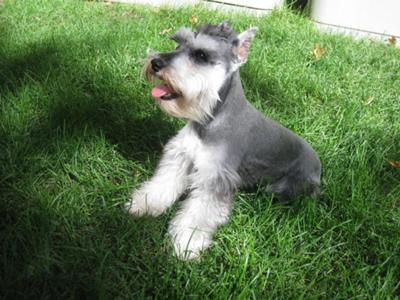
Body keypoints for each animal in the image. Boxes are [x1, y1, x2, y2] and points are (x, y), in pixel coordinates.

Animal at [125, 21, 322, 260]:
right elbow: (163, 182)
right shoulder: (180, 156)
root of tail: (319, 165)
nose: (155, 62)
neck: (209, 121)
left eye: (201, 55)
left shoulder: (216, 176)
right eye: (178, 43)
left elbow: (199, 213)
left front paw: (187, 244)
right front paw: (144, 204)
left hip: (291, 185)